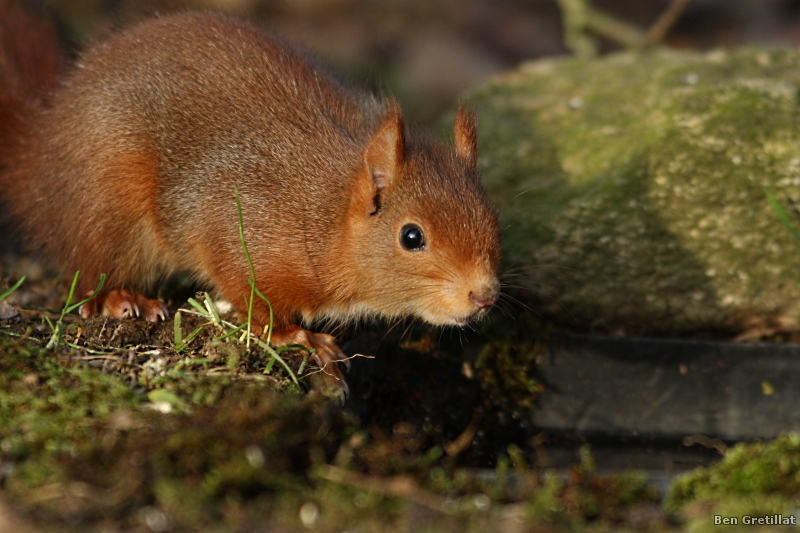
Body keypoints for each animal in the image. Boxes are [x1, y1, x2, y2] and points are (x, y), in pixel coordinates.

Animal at [0, 2, 500, 388]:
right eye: (412, 237)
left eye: (492, 218)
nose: (484, 297)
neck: (322, 212)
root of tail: (46, 148)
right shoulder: (234, 220)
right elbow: (250, 293)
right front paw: (295, 337)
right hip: (108, 196)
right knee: (87, 271)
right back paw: (121, 298)